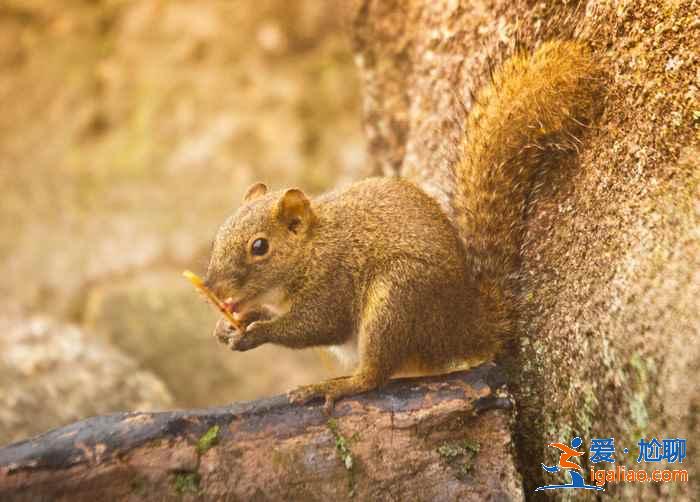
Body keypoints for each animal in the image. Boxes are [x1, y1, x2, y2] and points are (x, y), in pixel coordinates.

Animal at [204, 41, 600, 412]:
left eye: (259, 247)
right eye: (218, 236)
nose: (212, 287)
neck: (311, 250)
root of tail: (468, 326)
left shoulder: (333, 281)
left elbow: (318, 324)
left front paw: (256, 333)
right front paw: (235, 322)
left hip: (397, 299)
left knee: (374, 376)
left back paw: (333, 386)